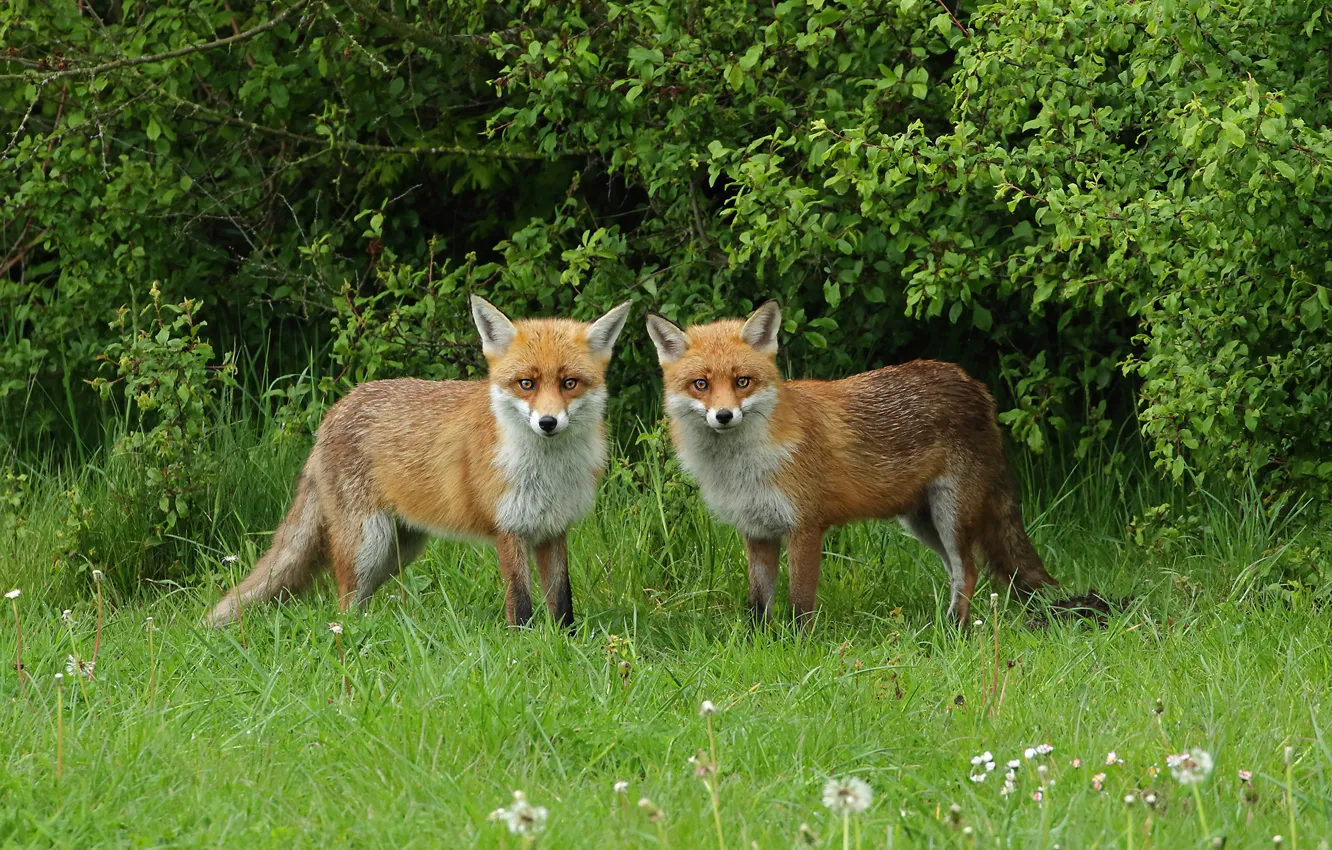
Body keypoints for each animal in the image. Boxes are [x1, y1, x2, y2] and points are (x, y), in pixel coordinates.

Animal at [204, 296, 632, 630]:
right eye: (526, 383)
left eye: (569, 383)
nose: (547, 422)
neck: (548, 473)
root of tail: (337, 407)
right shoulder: (509, 531)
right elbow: (521, 607)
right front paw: (525, 651)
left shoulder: (553, 530)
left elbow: (562, 605)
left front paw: (566, 647)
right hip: (367, 544)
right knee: (343, 604)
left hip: (398, 550)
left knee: (357, 602)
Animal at [645, 300, 1060, 625]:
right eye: (701, 384)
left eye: (742, 381)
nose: (724, 416)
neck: (744, 468)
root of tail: (975, 386)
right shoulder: (757, 531)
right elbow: (758, 606)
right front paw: (756, 647)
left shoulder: (806, 528)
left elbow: (800, 606)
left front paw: (799, 651)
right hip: (923, 522)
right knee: (960, 573)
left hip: (951, 515)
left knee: (969, 571)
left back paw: (954, 631)